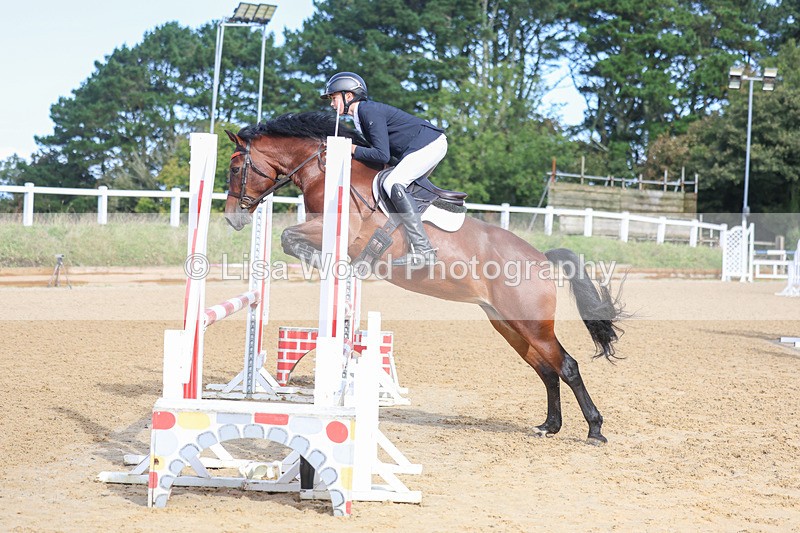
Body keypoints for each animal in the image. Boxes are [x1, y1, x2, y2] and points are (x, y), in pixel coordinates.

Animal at [223, 111, 625, 444]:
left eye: (235, 167)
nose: (232, 218)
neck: (327, 169)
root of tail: (541, 258)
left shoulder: (337, 230)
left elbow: (288, 237)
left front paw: (328, 264)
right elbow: (290, 239)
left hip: (532, 323)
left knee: (566, 366)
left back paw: (594, 430)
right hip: (508, 323)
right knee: (546, 369)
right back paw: (549, 426)